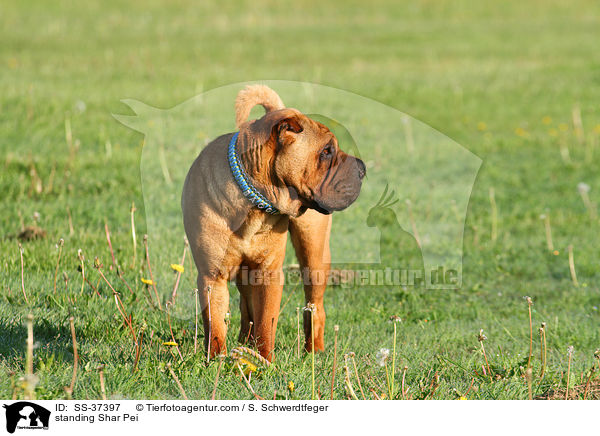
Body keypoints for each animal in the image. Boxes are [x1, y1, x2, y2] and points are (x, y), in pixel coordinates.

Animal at [180, 85, 366, 362]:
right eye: (326, 151)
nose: (363, 168)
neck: (254, 202)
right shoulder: (212, 276)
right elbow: (215, 324)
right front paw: (216, 360)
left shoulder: (269, 275)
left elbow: (266, 322)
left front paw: (265, 361)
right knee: (246, 309)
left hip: (314, 254)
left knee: (315, 306)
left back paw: (315, 351)